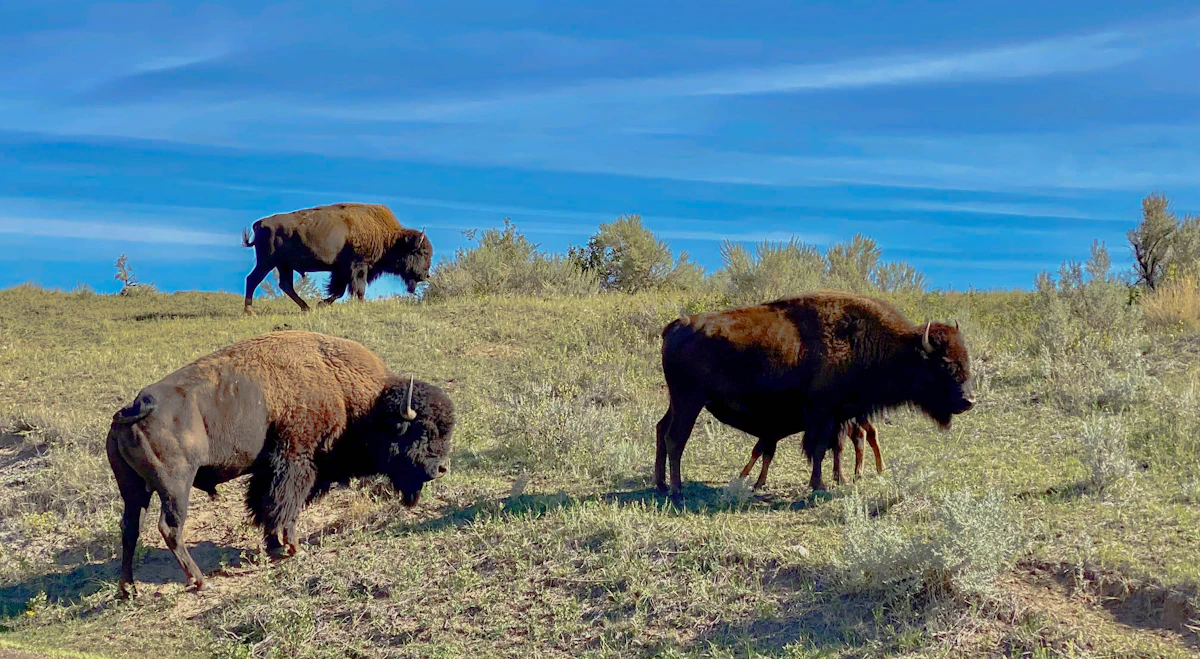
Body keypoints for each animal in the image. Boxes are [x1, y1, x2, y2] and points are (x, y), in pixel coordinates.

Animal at [106, 330, 454, 598]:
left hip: (133, 490)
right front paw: (294, 548)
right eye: (422, 430)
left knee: (130, 529)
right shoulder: (297, 461)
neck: (341, 384)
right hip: (176, 487)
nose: (441, 469)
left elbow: (265, 505)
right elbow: (286, 505)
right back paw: (199, 581)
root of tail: (136, 407)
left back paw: (128, 590)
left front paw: (273, 546)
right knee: (170, 528)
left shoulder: (267, 470)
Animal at [242, 202, 433, 315]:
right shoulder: (359, 266)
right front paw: (361, 305)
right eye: (422, 252)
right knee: (253, 279)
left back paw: (307, 308)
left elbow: (339, 290)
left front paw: (321, 304)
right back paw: (250, 311)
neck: (388, 237)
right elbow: (358, 289)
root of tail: (259, 223)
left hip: (283, 265)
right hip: (267, 262)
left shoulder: (342, 270)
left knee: (286, 285)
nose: (426, 275)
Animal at [655, 292, 973, 495]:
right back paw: (677, 490)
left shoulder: (841, 416)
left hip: (677, 401)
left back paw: (661, 485)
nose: (968, 401)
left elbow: (836, 448)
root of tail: (677, 325)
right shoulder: (822, 415)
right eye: (943, 364)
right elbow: (819, 449)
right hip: (689, 401)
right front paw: (819, 485)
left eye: (965, 360)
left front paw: (839, 479)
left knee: (661, 430)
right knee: (675, 438)